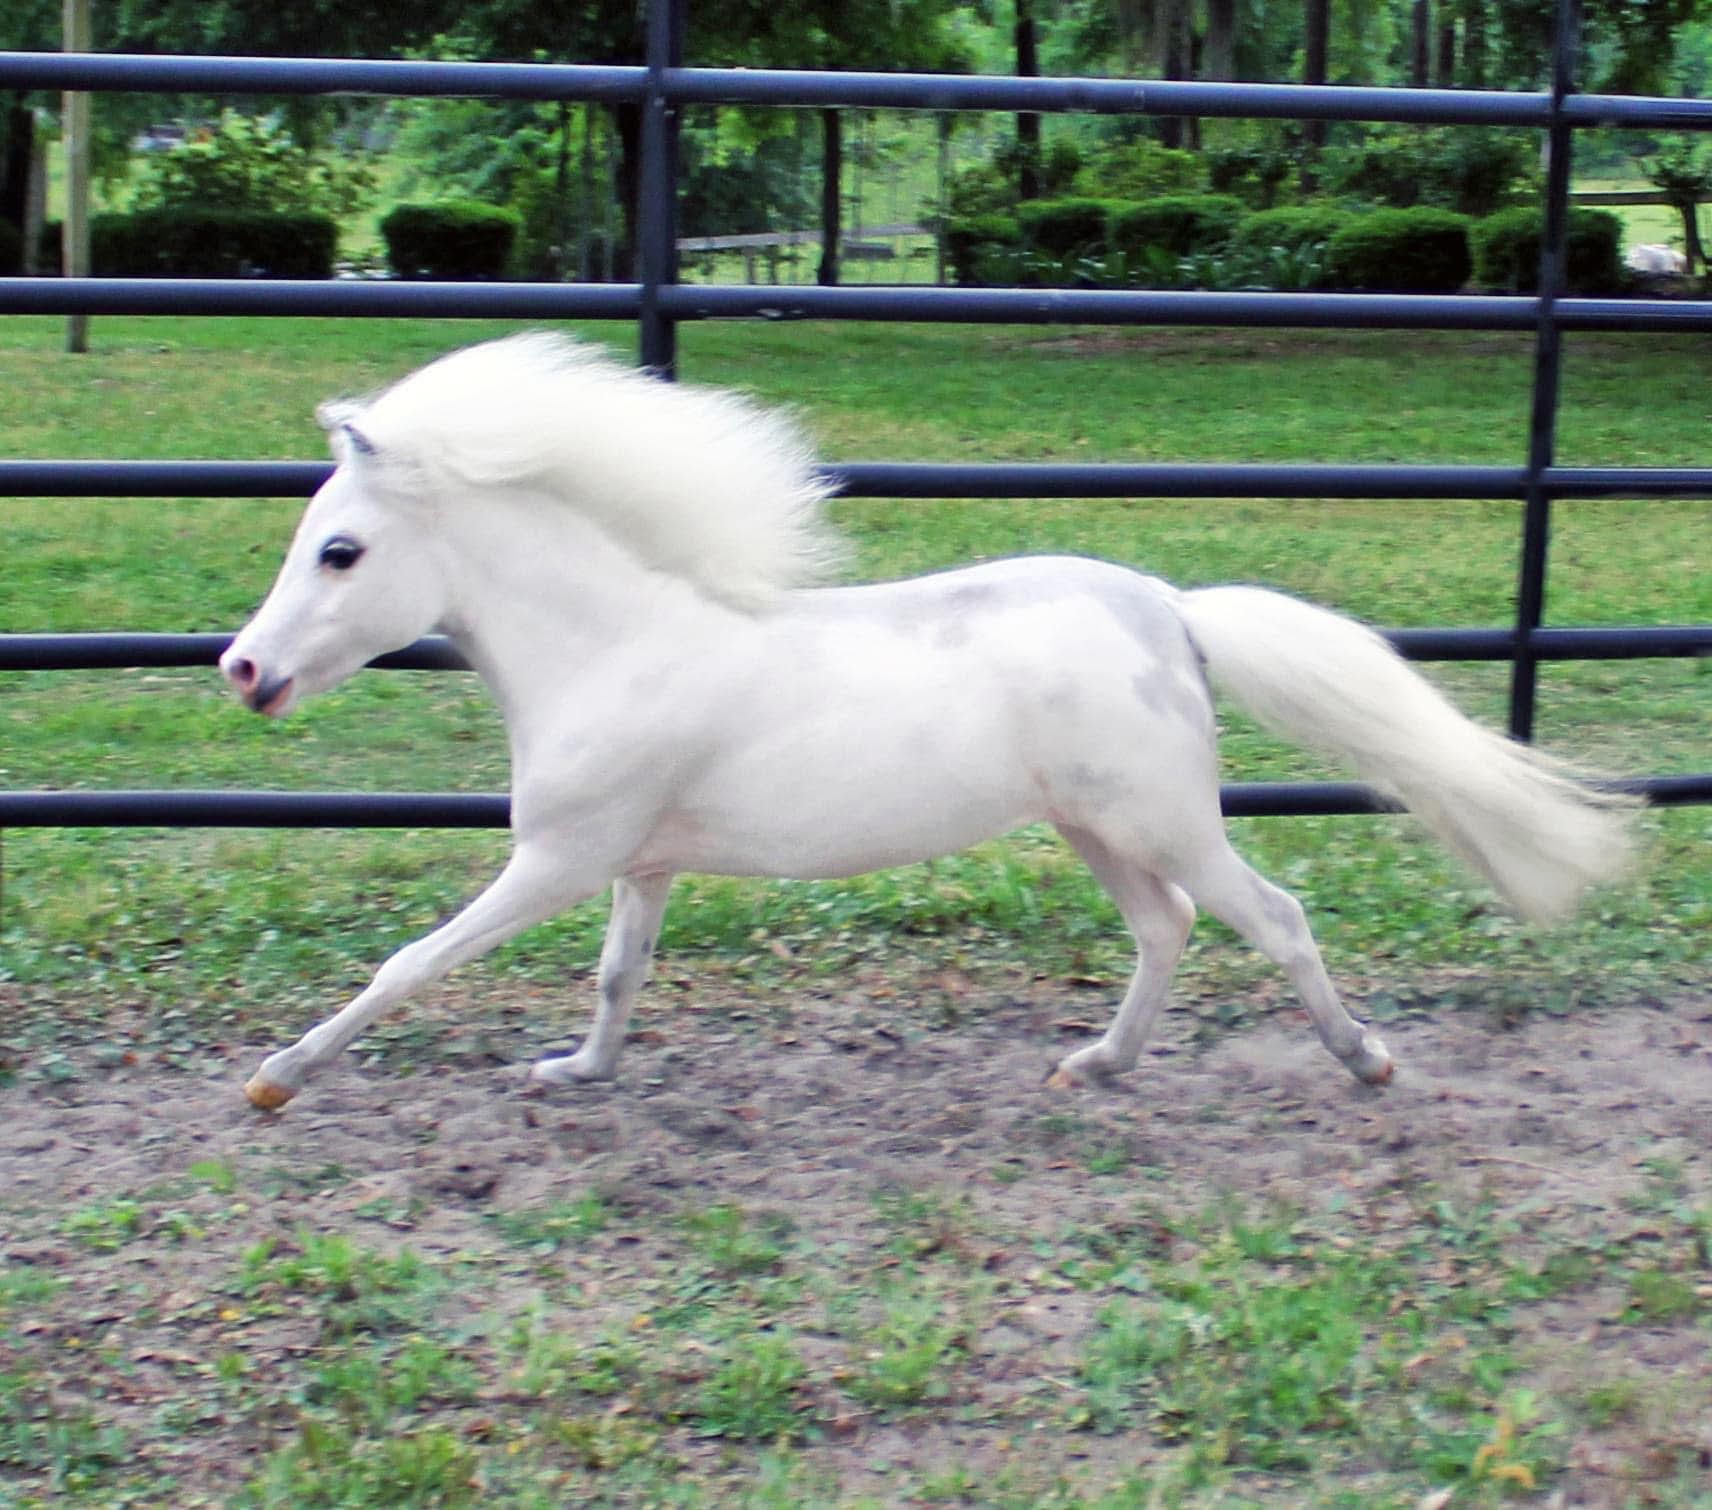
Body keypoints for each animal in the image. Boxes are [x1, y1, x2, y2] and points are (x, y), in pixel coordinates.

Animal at [221, 332, 1637, 1111]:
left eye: (340, 550)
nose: (242, 669)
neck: (613, 649)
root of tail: (1170, 613)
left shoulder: (558, 859)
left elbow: (412, 961)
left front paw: (276, 1076)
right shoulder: (638, 863)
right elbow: (619, 976)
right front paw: (577, 1072)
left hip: (1162, 819)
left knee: (1270, 917)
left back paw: (1365, 1062)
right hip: (1094, 830)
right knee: (1167, 929)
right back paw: (1094, 1066)